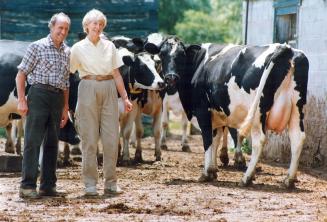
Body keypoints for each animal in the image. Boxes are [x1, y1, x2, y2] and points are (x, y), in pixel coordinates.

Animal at [146, 33, 310, 188]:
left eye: (181, 55)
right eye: (162, 55)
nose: (171, 78)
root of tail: (286, 49)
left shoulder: (202, 110)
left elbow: (207, 139)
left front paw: (206, 173)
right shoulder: (217, 113)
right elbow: (216, 138)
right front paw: (213, 170)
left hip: (258, 112)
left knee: (259, 141)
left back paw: (247, 178)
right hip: (297, 108)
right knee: (298, 138)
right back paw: (289, 180)